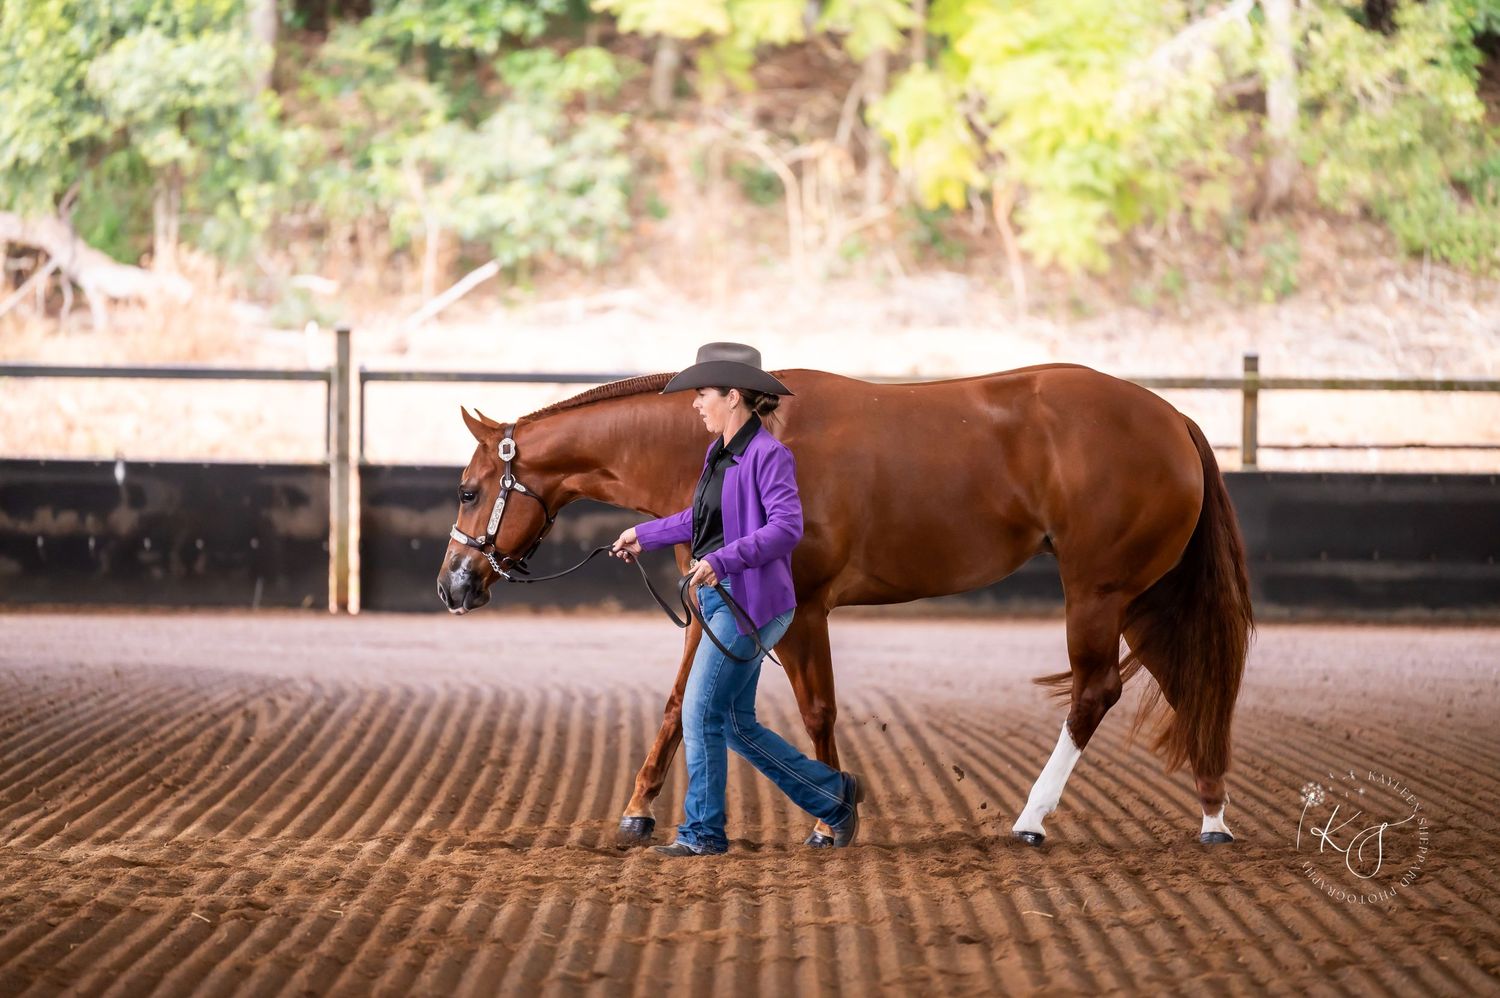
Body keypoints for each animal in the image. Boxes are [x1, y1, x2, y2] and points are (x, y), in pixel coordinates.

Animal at [436, 364, 1254, 848]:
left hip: (1098, 593)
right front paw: (639, 810)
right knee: (1189, 686)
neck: (743, 441)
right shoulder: (713, 602)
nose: (453, 586)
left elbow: (816, 710)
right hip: (1142, 598)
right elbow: (678, 704)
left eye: (470, 490)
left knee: (1095, 693)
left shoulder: (801, 613)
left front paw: (832, 820)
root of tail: (1171, 419)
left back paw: (1032, 820)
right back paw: (1213, 816)